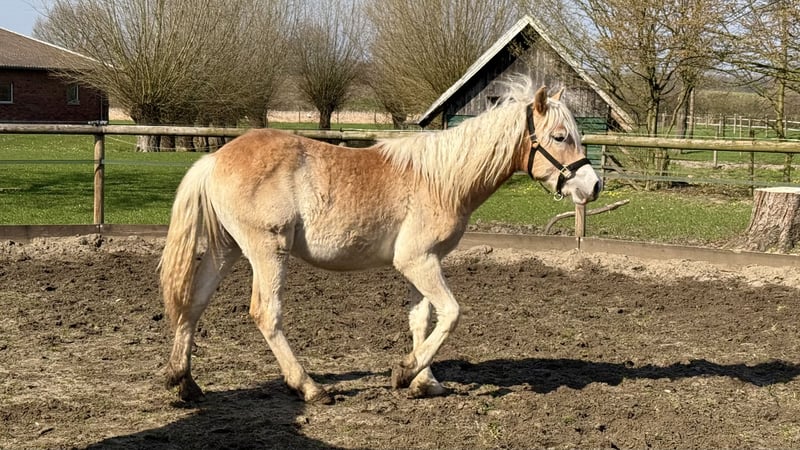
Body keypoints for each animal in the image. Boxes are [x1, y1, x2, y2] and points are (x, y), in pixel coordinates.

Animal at [159, 75, 602, 404]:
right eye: (560, 136)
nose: (593, 185)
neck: (442, 180)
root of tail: (214, 158)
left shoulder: (423, 262)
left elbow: (422, 319)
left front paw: (426, 382)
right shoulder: (417, 260)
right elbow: (451, 313)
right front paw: (405, 372)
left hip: (226, 250)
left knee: (193, 304)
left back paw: (184, 382)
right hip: (268, 252)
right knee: (266, 313)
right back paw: (310, 388)